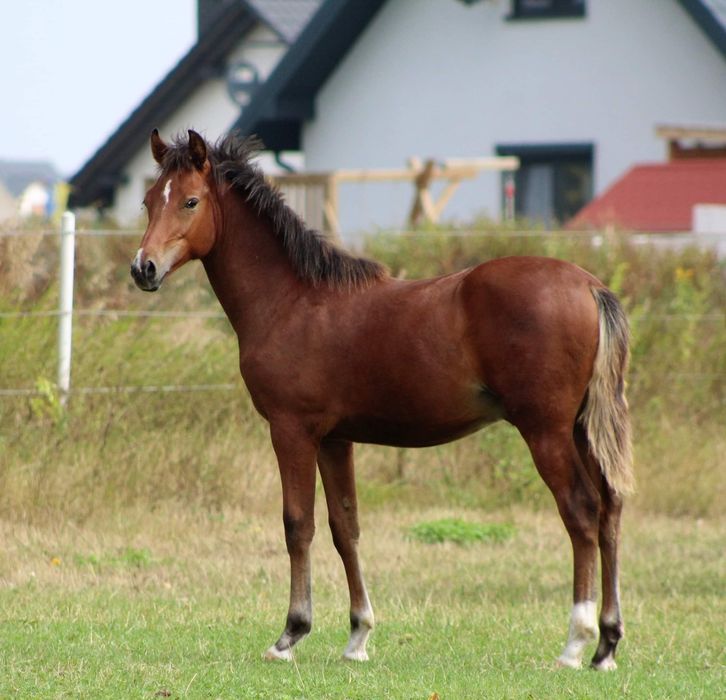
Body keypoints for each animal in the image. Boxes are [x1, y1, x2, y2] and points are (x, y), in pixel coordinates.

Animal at [132, 129, 636, 668]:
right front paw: (358, 636)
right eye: (148, 201)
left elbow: (298, 524)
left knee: (580, 510)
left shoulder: (291, 430)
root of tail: (589, 285)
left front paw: (290, 634)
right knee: (610, 510)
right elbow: (344, 526)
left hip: (546, 429)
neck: (292, 300)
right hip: (582, 427)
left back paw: (575, 642)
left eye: (190, 201)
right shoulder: (335, 439)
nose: (143, 268)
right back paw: (606, 644)